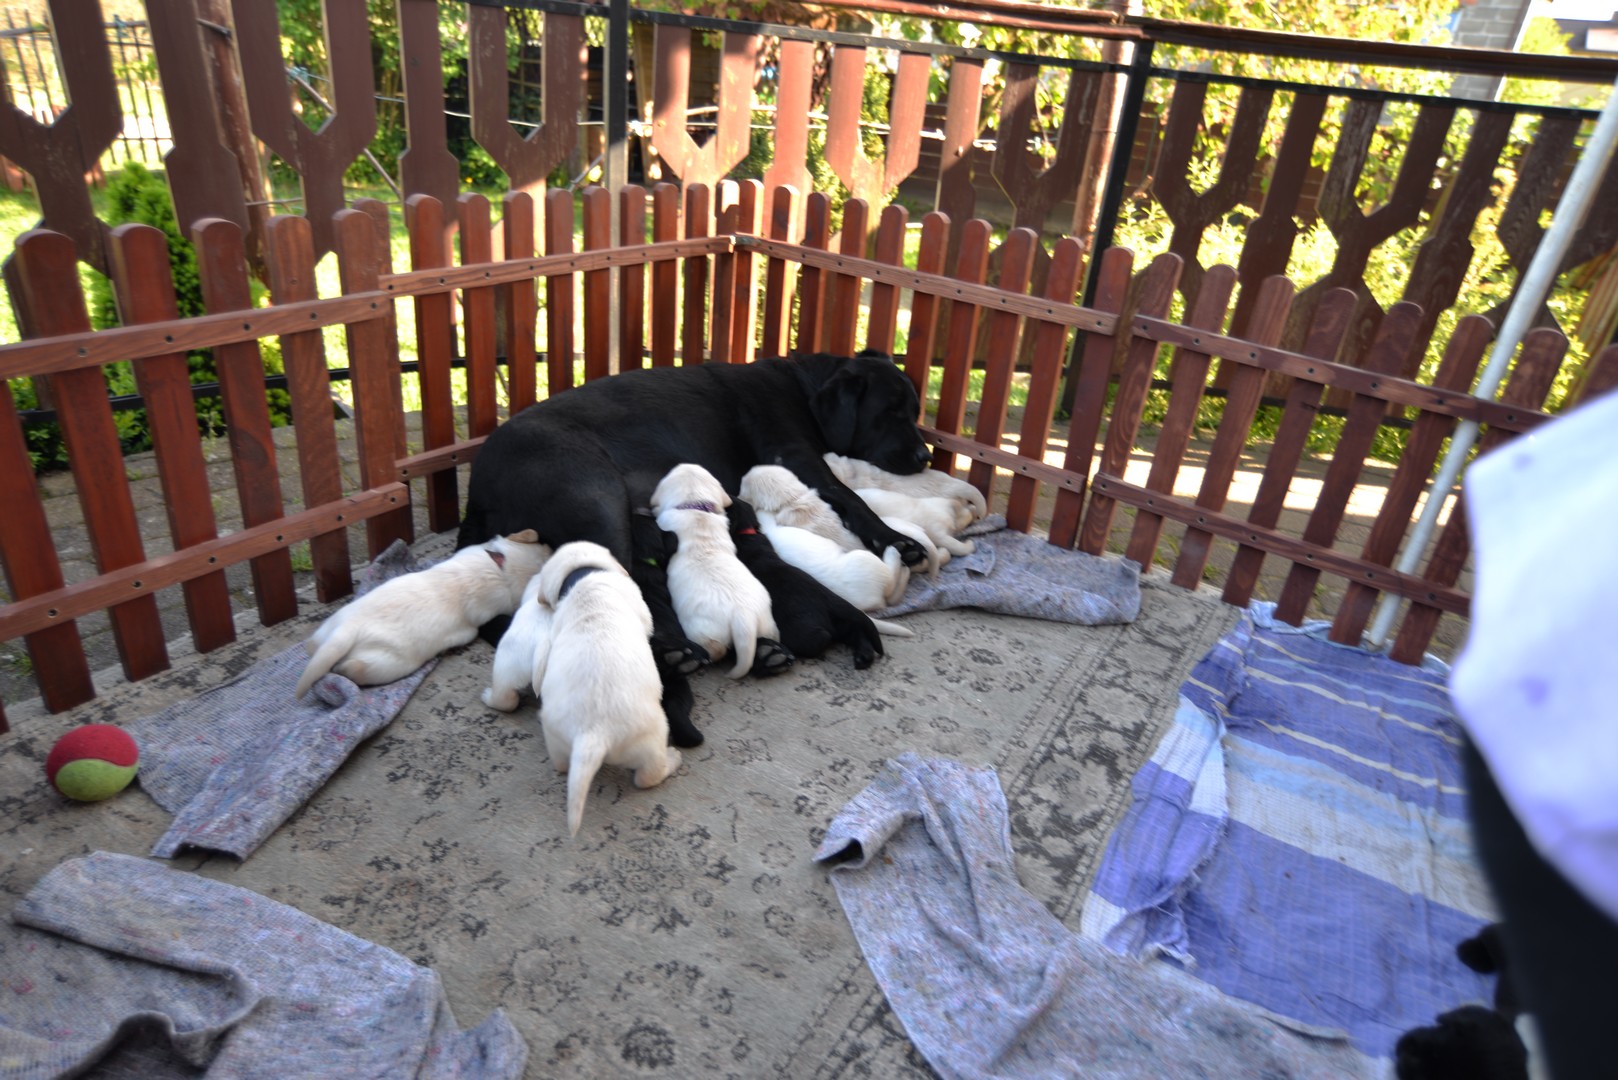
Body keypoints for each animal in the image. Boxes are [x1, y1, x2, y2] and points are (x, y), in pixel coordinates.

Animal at [294, 530, 549, 699]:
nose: (551, 547)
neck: (496, 571)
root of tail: (348, 629)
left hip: (329, 628)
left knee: (313, 647)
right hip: (388, 663)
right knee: (354, 669)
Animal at [532, 541, 680, 837]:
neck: (581, 577)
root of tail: (593, 734)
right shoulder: (641, 609)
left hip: (556, 736)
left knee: (561, 764)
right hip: (651, 738)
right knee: (648, 776)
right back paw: (673, 759)